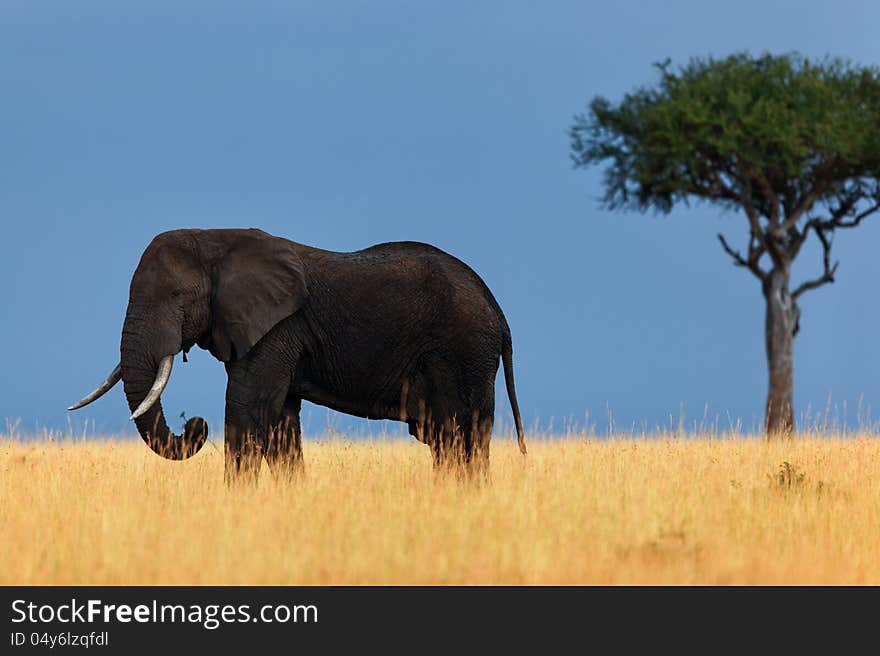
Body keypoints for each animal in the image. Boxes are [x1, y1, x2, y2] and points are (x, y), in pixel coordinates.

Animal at [70, 228, 524, 480]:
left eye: (176, 296)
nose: (194, 426)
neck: (216, 237)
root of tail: (499, 314)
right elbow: (280, 424)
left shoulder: (277, 329)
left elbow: (248, 411)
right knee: (447, 442)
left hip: (465, 353)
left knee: (461, 437)